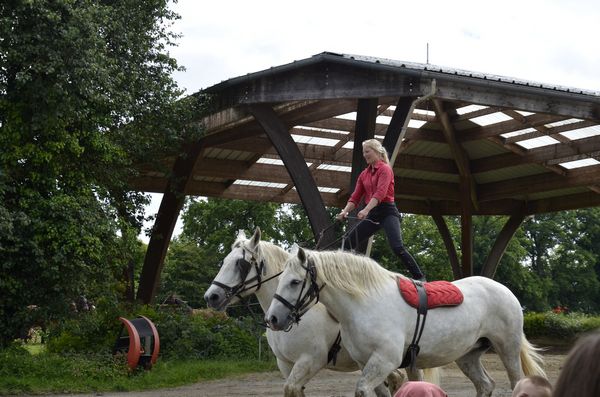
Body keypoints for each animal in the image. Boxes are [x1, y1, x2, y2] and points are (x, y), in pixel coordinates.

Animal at [204, 227, 410, 396]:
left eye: (240, 264)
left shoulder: (310, 360)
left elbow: (291, 388)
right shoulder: (286, 364)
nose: (211, 297)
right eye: (224, 261)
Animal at [264, 248, 548, 396]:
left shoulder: (384, 362)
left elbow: (363, 389)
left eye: (295, 282)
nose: (273, 319)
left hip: (507, 349)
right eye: (280, 279)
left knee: (515, 383)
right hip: (468, 356)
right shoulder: (367, 363)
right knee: (485, 385)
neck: (364, 304)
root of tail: (504, 290)